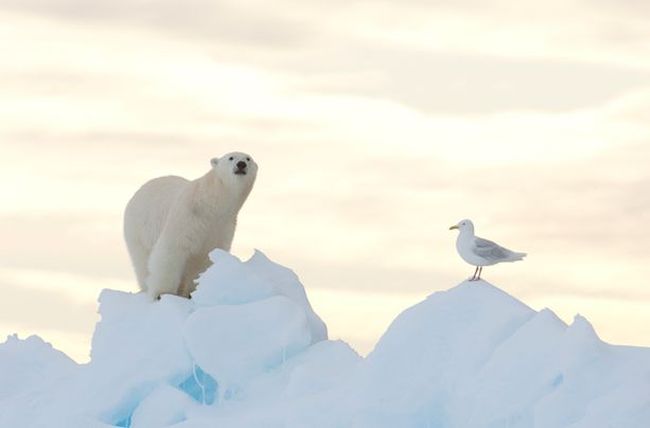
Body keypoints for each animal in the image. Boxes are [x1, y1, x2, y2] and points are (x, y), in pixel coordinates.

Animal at [123, 152, 256, 300]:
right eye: (231, 157)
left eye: (248, 159)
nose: (241, 164)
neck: (211, 204)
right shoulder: (187, 216)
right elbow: (171, 250)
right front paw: (162, 294)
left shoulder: (221, 226)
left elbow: (205, 258)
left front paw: (191, 292)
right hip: (139, 228)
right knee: (142, 260)